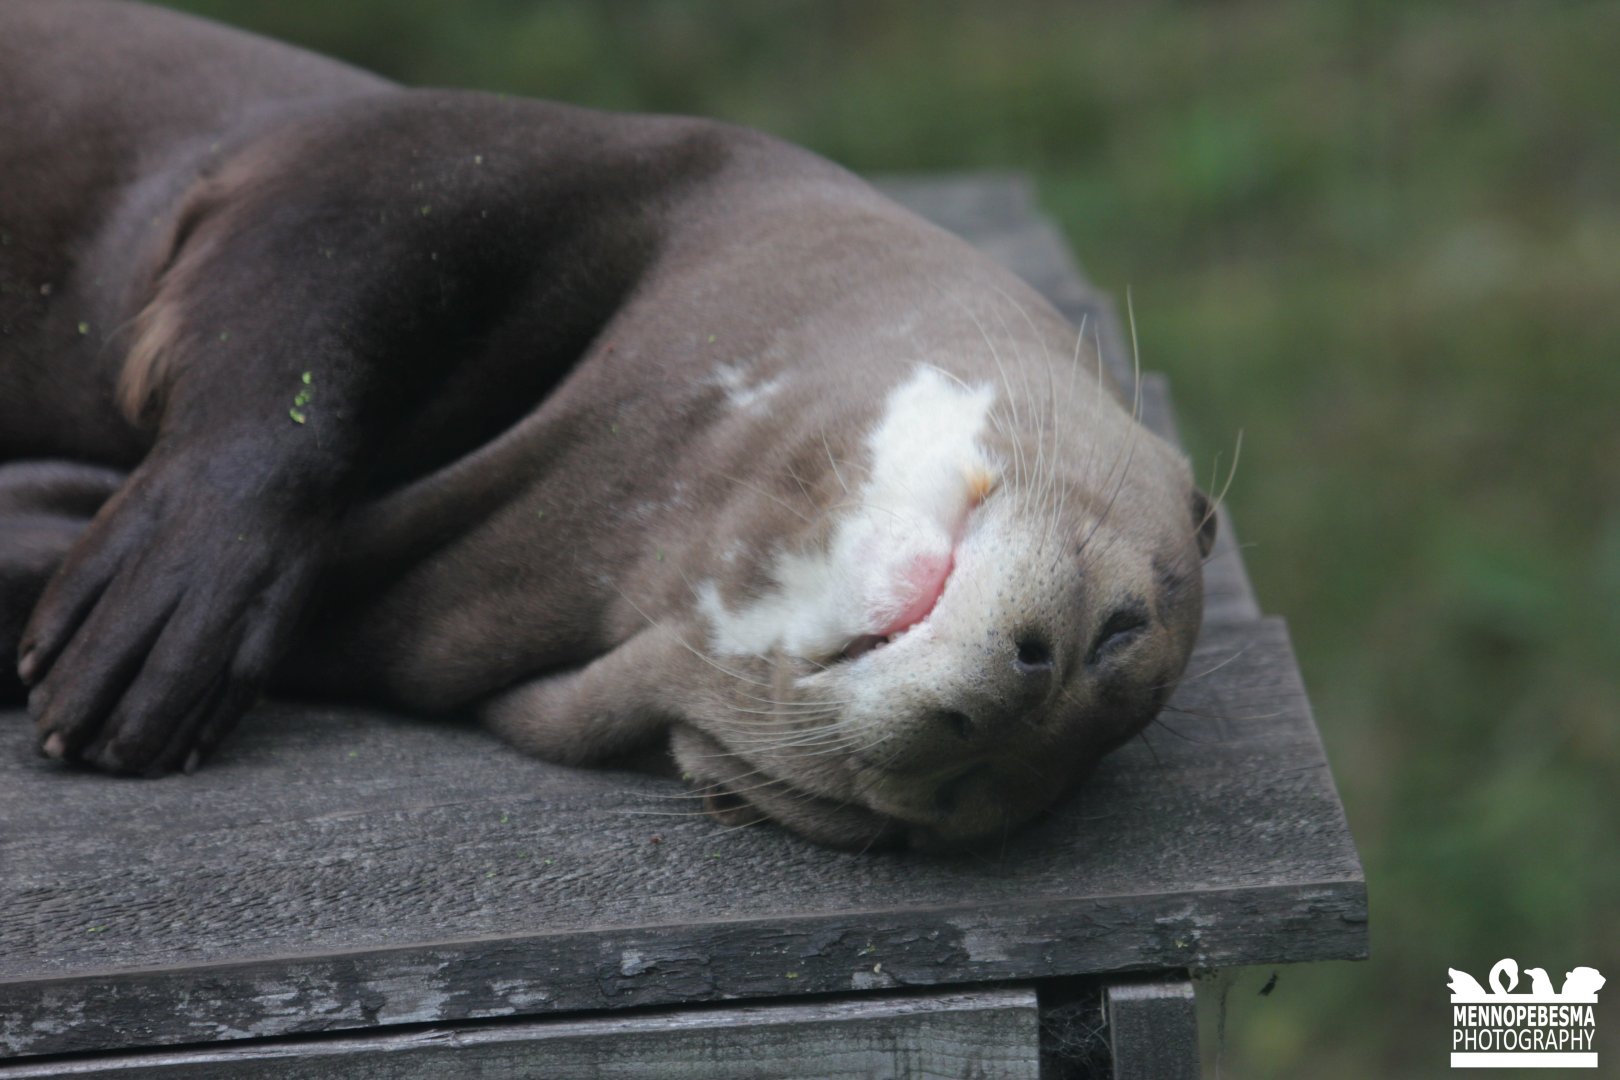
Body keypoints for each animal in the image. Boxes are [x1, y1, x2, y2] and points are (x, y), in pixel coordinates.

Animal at [0, 0, 1215, 849]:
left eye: (962, 791)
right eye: (1117, 633)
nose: (1013, 692)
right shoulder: (449, 155)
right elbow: (315, 302)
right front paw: (174, 599)